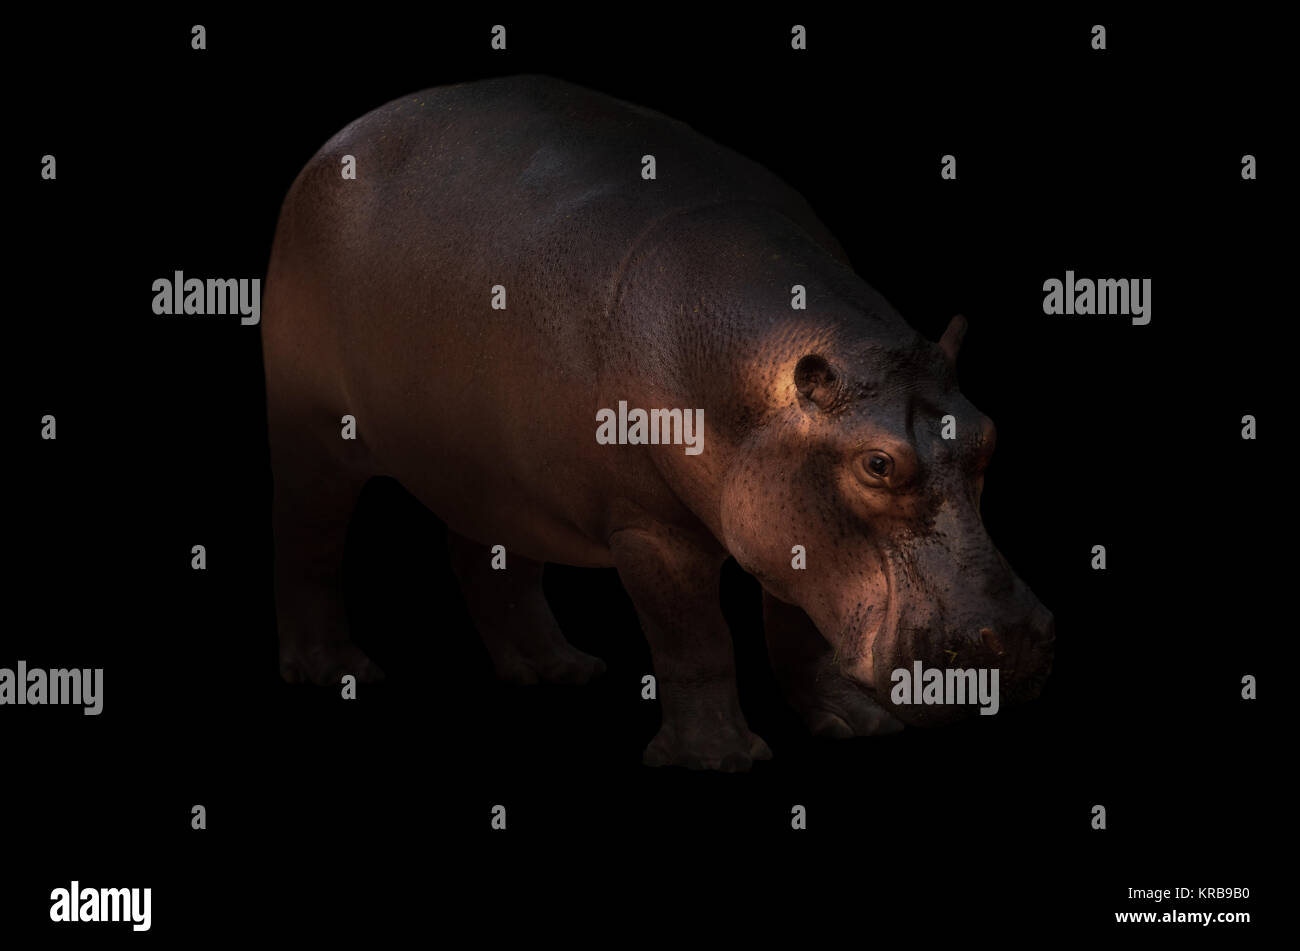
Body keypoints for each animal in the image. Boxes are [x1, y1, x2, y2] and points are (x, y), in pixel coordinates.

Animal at [262, 74, 1055, 771]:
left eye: (989, 435)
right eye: (878, 464)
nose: (1014, 640)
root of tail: (338, 142)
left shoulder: (790, 517)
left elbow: (797, 630)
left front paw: (854, 726)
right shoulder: (652, 530)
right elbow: (695, 642)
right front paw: (719, 758)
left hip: (494, 468)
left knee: (490, 557)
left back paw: (557, 669)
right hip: (312, 432)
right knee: (309, 540)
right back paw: (334, 671)